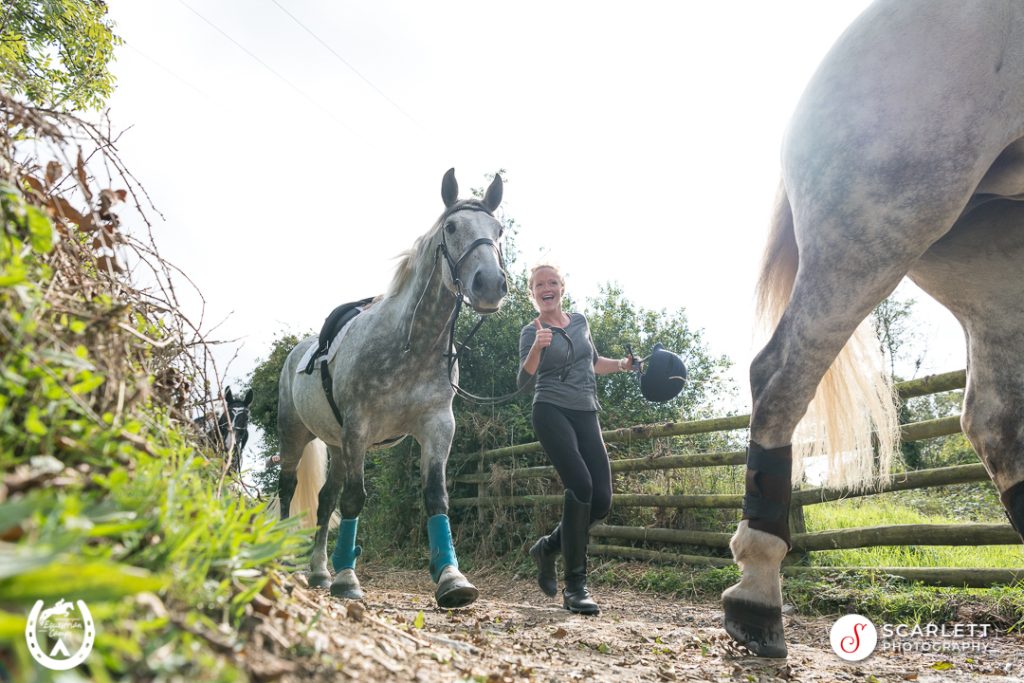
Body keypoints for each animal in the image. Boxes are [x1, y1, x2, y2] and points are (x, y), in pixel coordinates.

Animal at [278, 171, 505, 610]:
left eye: (498, 230)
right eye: (452, 228)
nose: (489, 284)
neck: (412, 344)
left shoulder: (437, 426)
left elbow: (436, 497)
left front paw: (451, 577)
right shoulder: (359, 428)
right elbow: (355, 498)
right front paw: (347, 578)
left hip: (336, 445)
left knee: (324, 501)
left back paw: (319, 571)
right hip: (296, 434)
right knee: (287, 488)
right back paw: (281, 560)